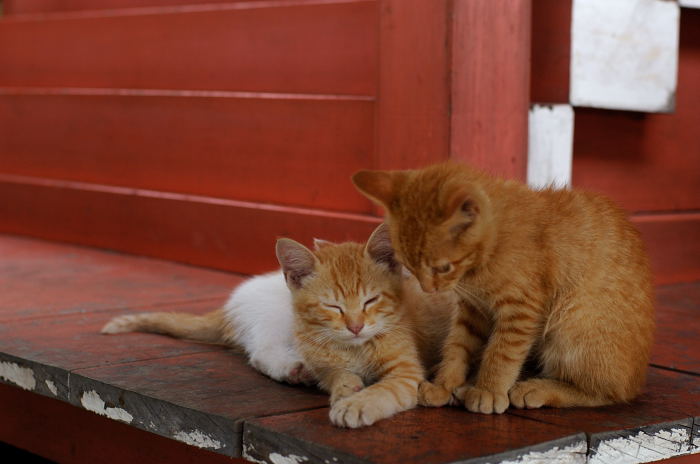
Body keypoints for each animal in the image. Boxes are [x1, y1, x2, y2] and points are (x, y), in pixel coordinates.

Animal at [102, 225, 454, 428]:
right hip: (278, 321)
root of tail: (233, 303)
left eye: (371, 300)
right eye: (333, 306)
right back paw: (295, 369)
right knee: (261, 352)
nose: (355, 325)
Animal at [356, 162, 656, 414]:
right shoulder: (472, 310)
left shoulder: (521, 310)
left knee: (607, 393)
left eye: (443, 268)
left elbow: (501, 354)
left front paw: (488, 391)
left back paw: (537, 389)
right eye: (409, 265)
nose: (429, 289)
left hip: (573, 322)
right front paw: (444, 384)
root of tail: (637, 379)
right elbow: (457, 346)